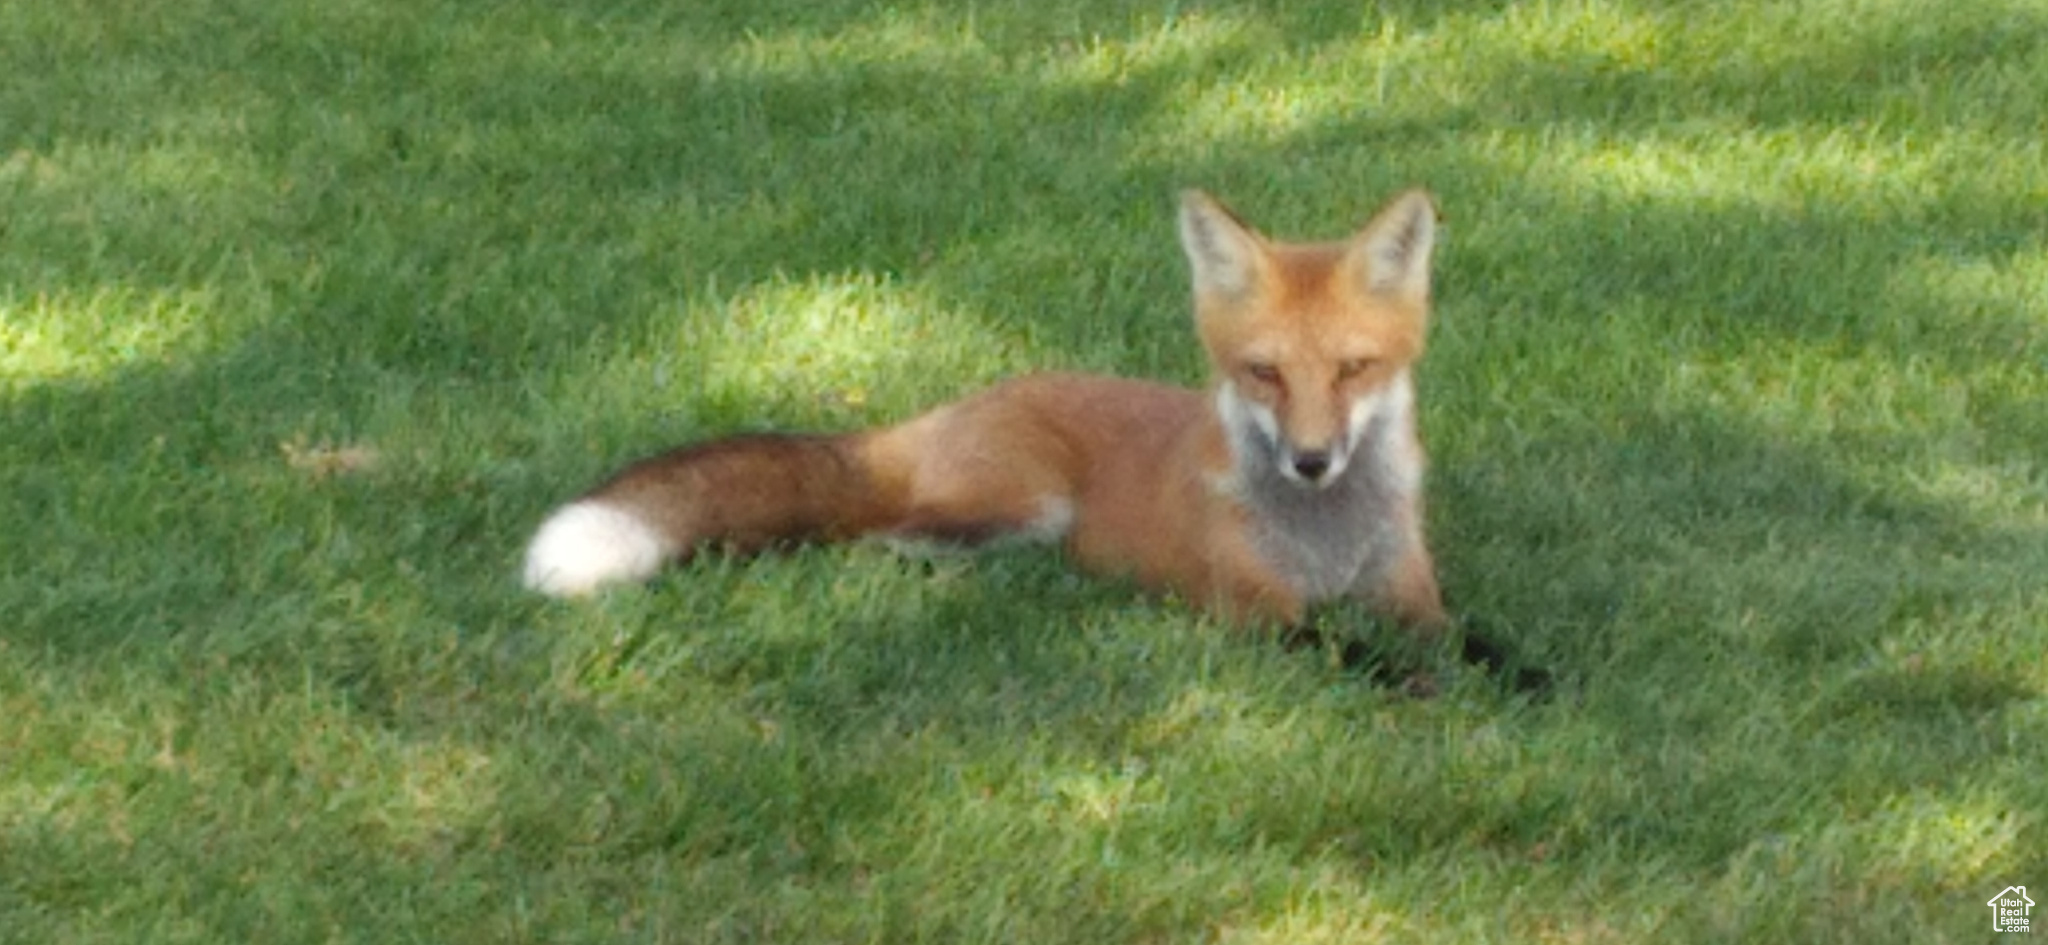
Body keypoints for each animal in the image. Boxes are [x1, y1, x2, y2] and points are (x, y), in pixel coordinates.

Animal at [528, 185, 1540, 684]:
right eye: (1264, 373)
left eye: (1353, 369)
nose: (1312, 460)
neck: (1327, 542)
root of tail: (959, 402)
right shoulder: (1255, 614)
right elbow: (1363, 657)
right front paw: (1430, 689)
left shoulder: (1412, 593)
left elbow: (1477, 642)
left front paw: (1528, 677)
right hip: (1019, 503)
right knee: (870, 535)